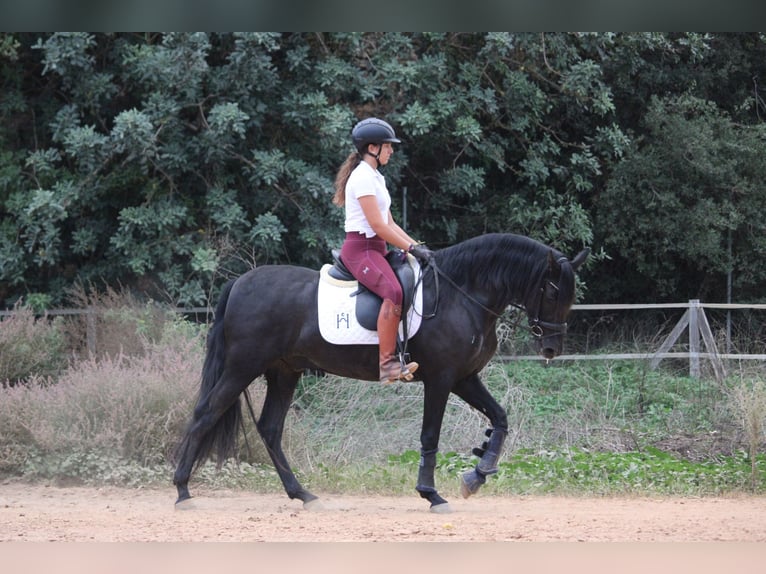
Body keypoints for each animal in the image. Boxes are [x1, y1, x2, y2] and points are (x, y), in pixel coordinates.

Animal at [176, 234, 588, 512]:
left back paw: (302, 494)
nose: (552, 349)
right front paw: (431, 494)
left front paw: (477, 474)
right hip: (242, 367)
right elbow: (430, 435)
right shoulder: (441, 379)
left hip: (284, 372)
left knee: (270, 429)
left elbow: (500, 418)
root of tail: (241, 282)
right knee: (205, 414)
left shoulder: (465, 378)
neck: (462, 294)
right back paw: (182, 491)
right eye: (553, 292)